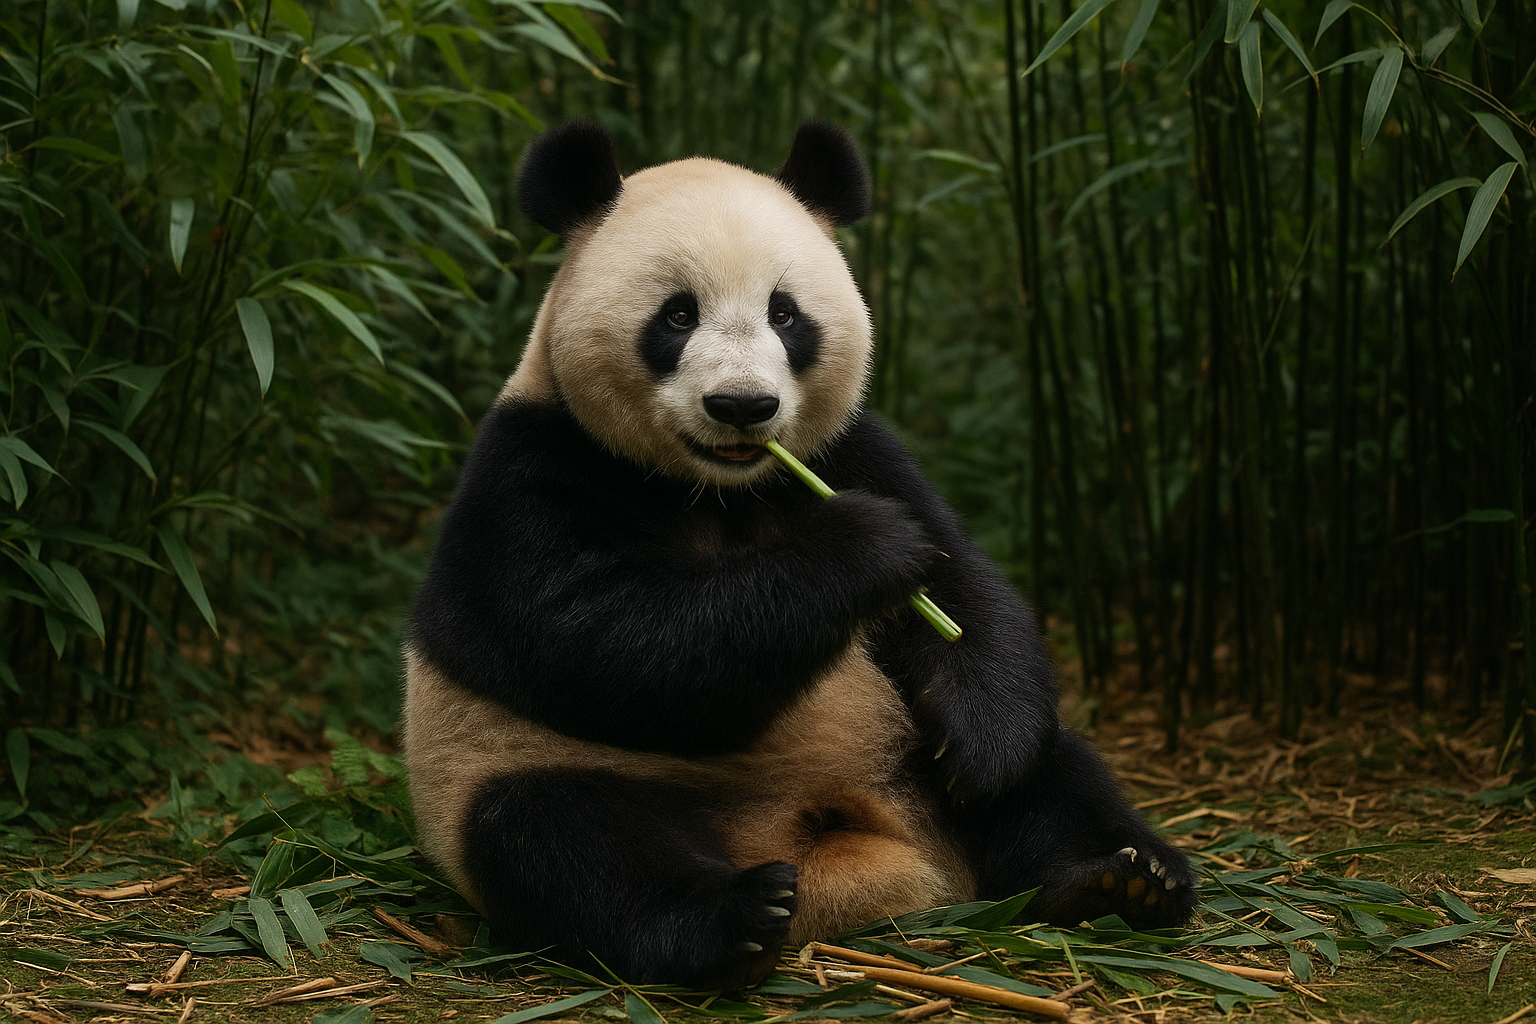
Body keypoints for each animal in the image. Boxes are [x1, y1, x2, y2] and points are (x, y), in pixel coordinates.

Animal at [403, 121, 1197, 991]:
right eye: (676, 316)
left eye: (785, 314)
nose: (743, 406)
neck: (719, 489)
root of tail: (831, 846)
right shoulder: (533, 469)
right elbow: (604, 638)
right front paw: (866, 547)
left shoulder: (853, 451)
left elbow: (966, 590)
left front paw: (983, 743)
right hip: (509, 767)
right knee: (564, 841)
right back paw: (736, 917)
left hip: (907, 755)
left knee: (1057, 773)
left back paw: (1120, 880)